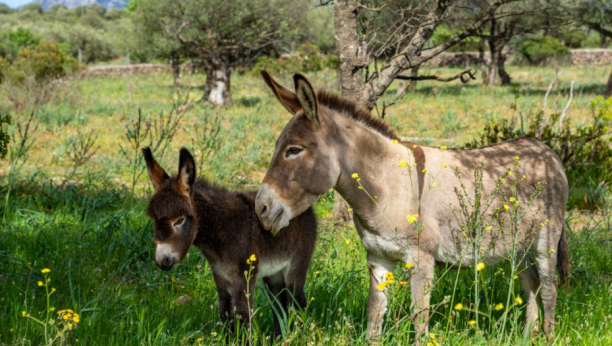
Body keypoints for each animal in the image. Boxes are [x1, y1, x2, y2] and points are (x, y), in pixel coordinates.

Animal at [142, 148, 316, 336]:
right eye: (154, 220)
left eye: (179, 221)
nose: (161, 261)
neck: (219, 232)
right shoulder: (220, 276)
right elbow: (225, 314)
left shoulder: (243, 278)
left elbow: (243, 317)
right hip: (274, 273)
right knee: (279, 305)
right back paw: (280, 338)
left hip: (297, 264)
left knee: (296, 302)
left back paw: (297, 336)